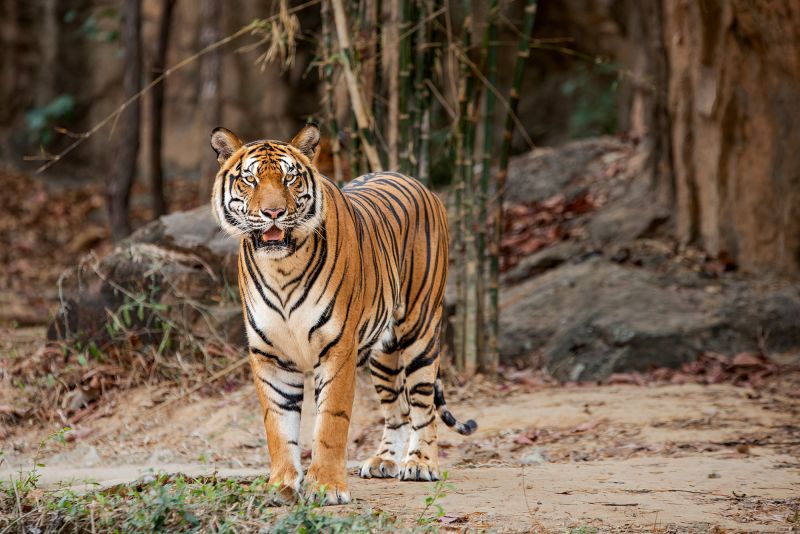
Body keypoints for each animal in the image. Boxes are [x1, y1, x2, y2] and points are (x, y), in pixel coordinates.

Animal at [209, 123, 476, 505]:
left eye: (290, 179)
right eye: (250, 179)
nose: (273, 213)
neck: (281, 267)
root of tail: (417, 182)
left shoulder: (337, 348)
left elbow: (330, 422)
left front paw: (327, 487)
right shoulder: (269, 355)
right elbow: (278, 425)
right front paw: (281, 486)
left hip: (420, 330)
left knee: (422, 404)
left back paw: (421, 464)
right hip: (384, 351)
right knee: (397, 409)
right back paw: (384, 461)